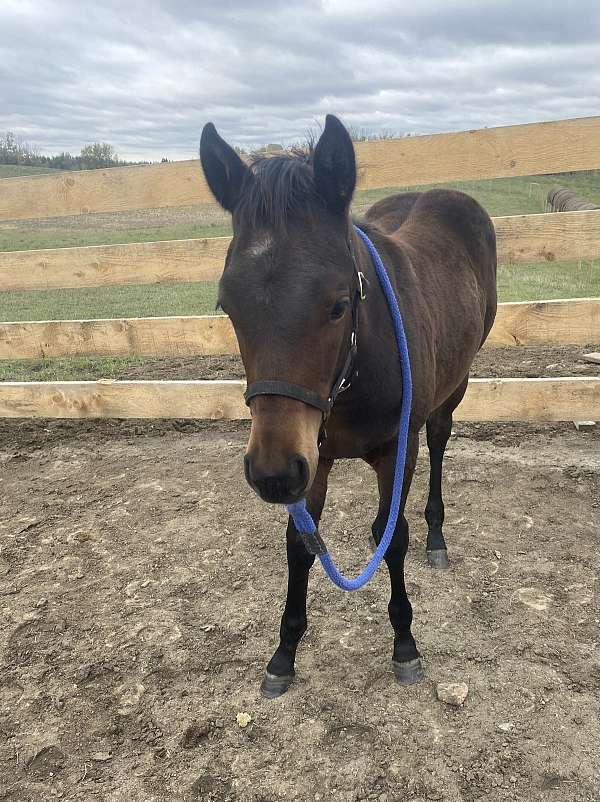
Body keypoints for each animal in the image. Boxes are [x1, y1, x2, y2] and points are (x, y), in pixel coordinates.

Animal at [199, 112, 494, 692]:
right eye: (228, 306)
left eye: (338, 305)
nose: (272, 474)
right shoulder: (313, 456)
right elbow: (300, 543)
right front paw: (284, 652)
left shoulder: (394, 450)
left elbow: (390, 535)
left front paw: (405, 644)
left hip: (458, 380)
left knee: (440, 439)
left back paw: (437, 537)